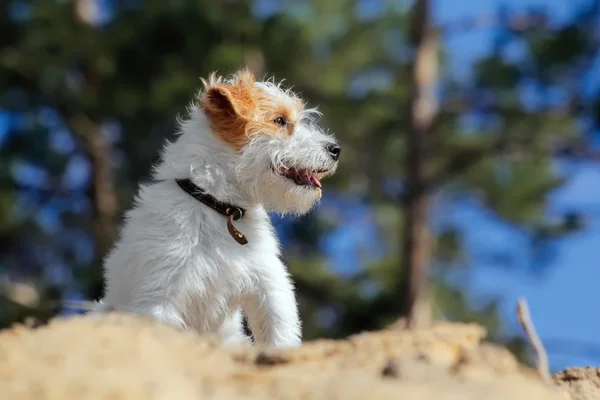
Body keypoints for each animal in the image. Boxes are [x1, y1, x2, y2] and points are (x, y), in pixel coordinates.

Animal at [94, 68, 340, 346]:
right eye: (279, 120)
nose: (335, 149)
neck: (221, 208)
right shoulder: (160, 298)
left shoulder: (269, 283)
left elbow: (280, 334)